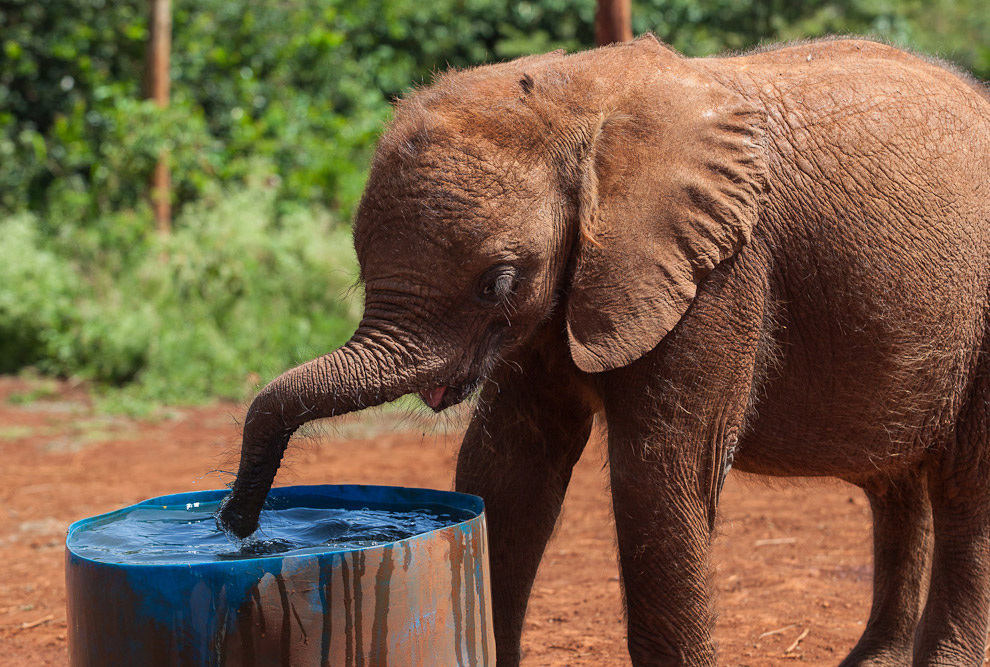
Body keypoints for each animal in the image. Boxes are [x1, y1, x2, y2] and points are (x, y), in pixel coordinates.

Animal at [221, 36, 990, 667]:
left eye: (498, 281)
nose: (238, 522)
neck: (580, 94)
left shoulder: (723, 271)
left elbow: (658, 477)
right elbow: (507, 470)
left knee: (965, 486)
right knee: (897, 486)